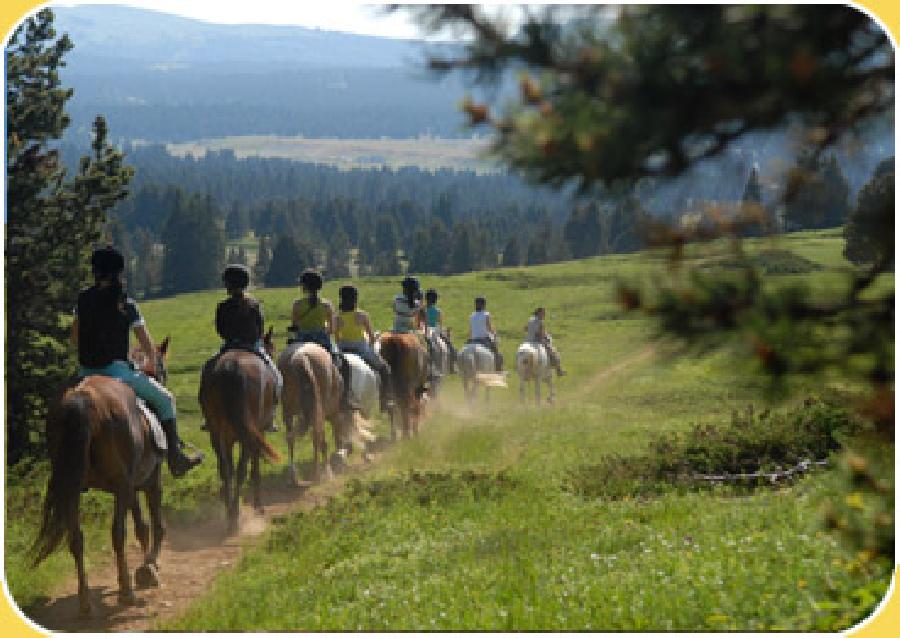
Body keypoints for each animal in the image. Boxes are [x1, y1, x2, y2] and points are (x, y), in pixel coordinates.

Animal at [33, 340, 172, 620]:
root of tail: (81, 400)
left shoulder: (130, 486)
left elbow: (142, 526)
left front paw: (146, 568)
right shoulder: (148, 480)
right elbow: (154, 524)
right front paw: (149, 567)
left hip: (73, 489)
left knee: (76, 540)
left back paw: (85, 602)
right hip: (121, 484)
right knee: (117, 533)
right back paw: (126, 593)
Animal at [199, 330, 280, 536]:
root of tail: (231, 366)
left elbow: (229, 469)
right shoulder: (259, 433)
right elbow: (254, 467)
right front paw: (258, 506)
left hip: (216, 434)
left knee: (225, 470)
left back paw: (230, 514)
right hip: (246, 436)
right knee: (242, 469)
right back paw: (235, 518)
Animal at [278, 344, 352, 484]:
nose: (349, 447)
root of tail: (301, 356)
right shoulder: (332, 413)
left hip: (289, 409)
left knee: (291, 438)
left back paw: (295, 476)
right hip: (316, 409)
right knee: (318, 438)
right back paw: (322, 473)